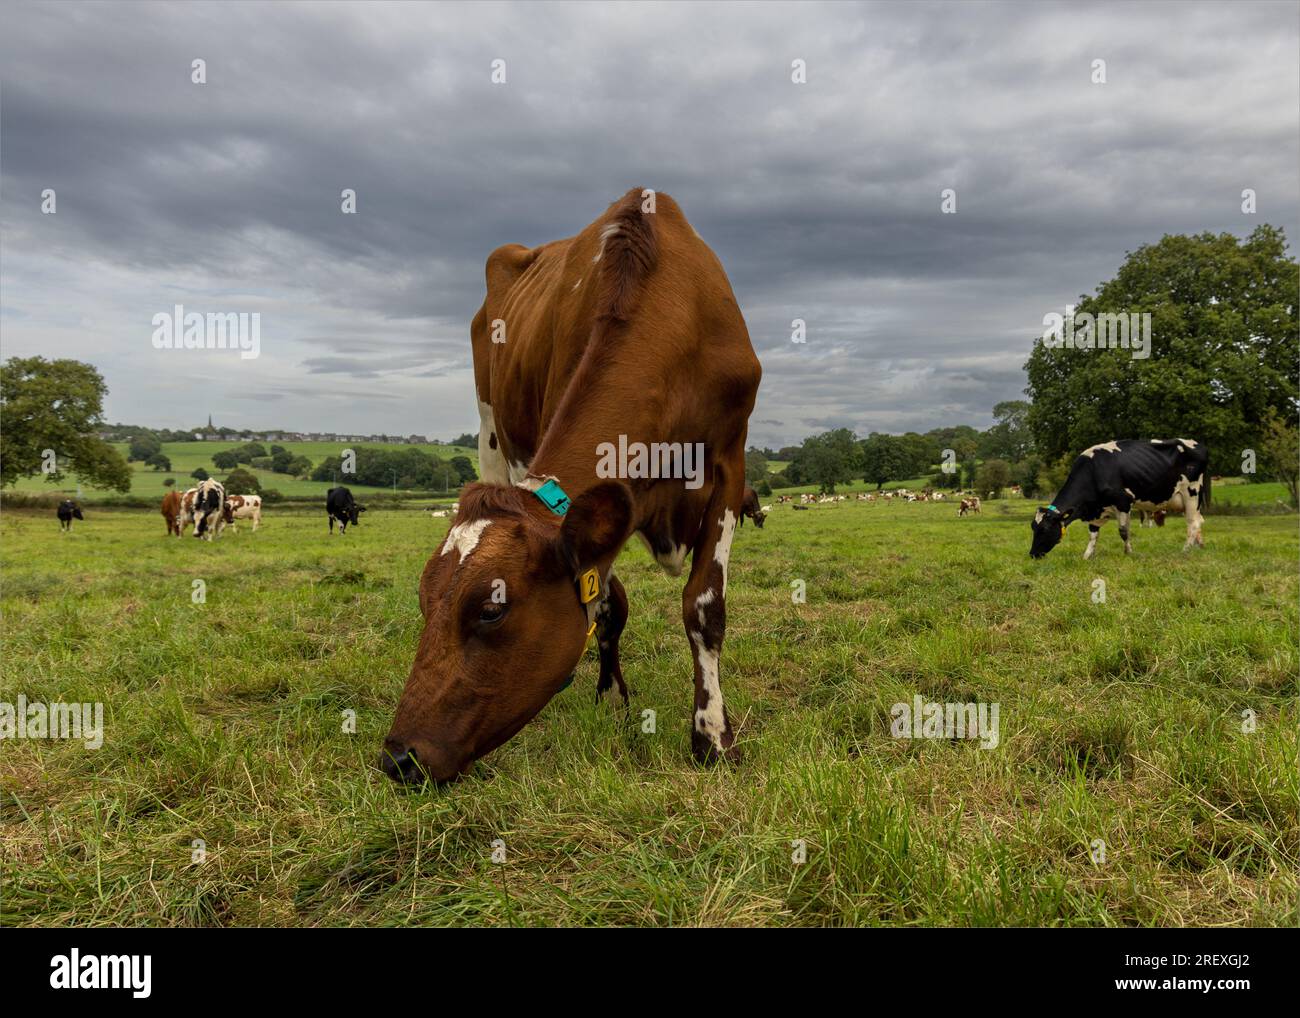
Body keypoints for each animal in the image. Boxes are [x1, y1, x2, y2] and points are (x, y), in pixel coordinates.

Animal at [379, 187, 759, 785]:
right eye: (423, 600)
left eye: (491, 609)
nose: (398, 757)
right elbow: (606, 601)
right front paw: (612, 695)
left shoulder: (729, 460)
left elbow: (704, 607)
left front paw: (713, 738)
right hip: (490, 429)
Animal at [1034, 436, 1206, 561]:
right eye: (1033, 528)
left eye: (1045, 529)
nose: (1032, 554)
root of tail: (1196, 443)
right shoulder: (1097, 510)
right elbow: (1093, 534)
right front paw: (1087, 556)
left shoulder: (1123, 502)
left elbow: (1123, 531)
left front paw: (1128, 552)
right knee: (1198, 521)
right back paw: (1199, 546)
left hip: (1192, 494)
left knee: (1193, 523)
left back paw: (1185, 550)